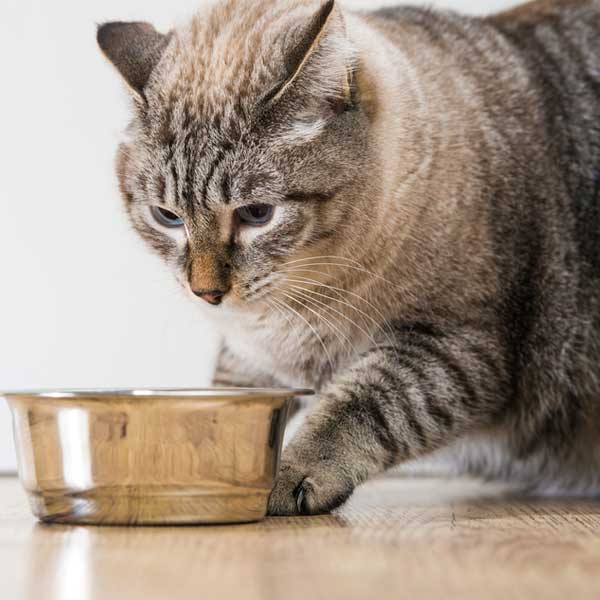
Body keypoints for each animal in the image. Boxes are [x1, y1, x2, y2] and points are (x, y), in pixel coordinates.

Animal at [96, 0, 600, 516]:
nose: (207, 293)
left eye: (256, 214)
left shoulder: (455, 347)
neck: (296, 305)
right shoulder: (251, 356)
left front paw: (283, 476)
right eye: (167, 217)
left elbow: (358, 408)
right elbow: (221, 403)